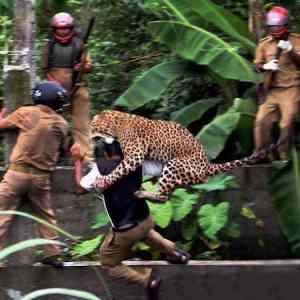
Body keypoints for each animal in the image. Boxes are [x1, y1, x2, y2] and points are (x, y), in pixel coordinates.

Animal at [89, 110, 260, 197]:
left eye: (92, 126)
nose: (88, 137)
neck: (115, 123)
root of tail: (207, 165)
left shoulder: (134, 155)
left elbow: (118, 169)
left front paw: (103, 181)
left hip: (175, 163)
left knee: (163, 196)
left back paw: (144, 193)